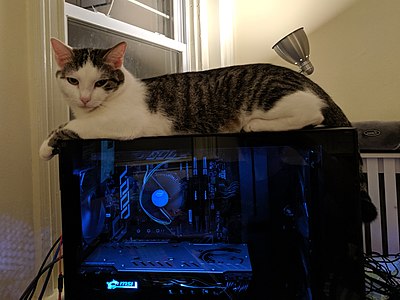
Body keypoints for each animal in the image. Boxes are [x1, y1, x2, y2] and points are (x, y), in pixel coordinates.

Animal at [39, 38, 376, 223]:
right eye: (73, 81)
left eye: (101, 83)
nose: (84, 98)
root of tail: (307, 80)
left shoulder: (122, 122)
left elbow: (74, 126)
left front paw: (46, 145)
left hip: (271, 97)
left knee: (311, 112)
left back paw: (253, 124)